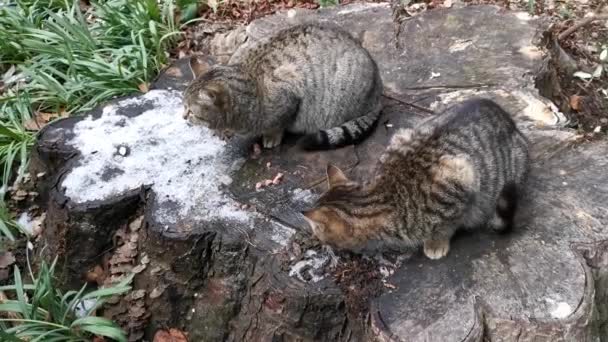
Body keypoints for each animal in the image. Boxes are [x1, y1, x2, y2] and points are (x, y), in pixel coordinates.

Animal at [180, 22, 382, 149]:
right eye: (183, 107)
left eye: (191, 112)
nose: (182, 117)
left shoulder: (290, 94)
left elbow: (279, 124)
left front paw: (271, 137)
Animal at [302, 98, 528, 260]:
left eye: (317, 232)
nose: (316, 242)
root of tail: (500, 111)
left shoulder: (463, 175)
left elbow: (448, 224)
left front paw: (435, 243)